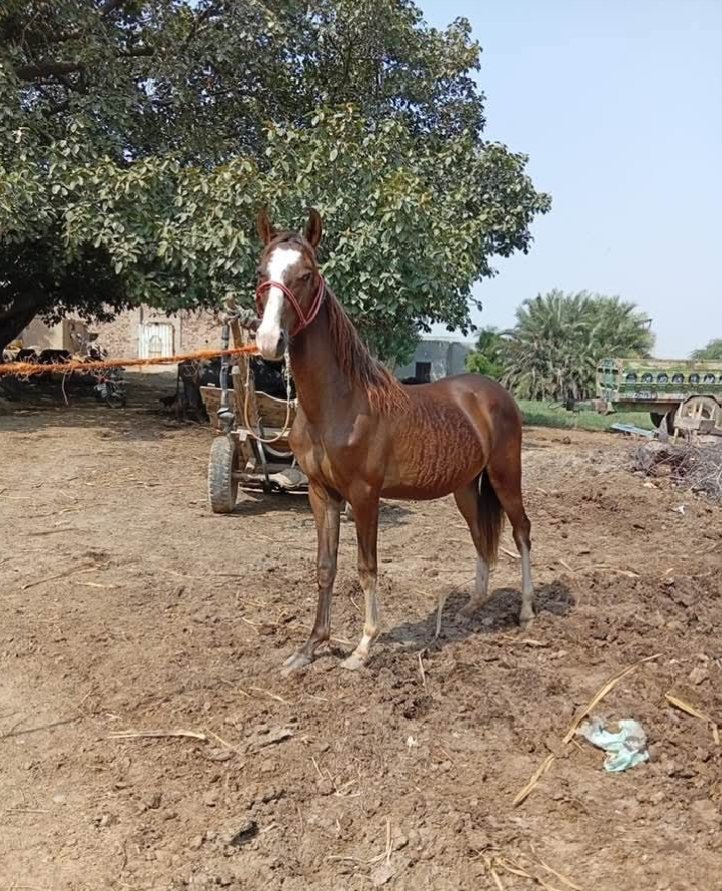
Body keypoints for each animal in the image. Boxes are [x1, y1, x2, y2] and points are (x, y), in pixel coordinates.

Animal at [254, 208, 534, 673]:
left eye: (306, 275)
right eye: (263, 272)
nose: (268, 341)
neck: (339, 403)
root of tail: (496, 392)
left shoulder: (364, 495)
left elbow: (367, 567)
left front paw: (363, 648)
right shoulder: (321, 493)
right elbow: (325, 567)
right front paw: (310, 648)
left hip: (505, 476)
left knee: (521, 532)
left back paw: (528, 610)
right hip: (465, 488)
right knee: (481, 536)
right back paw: (472, 606)